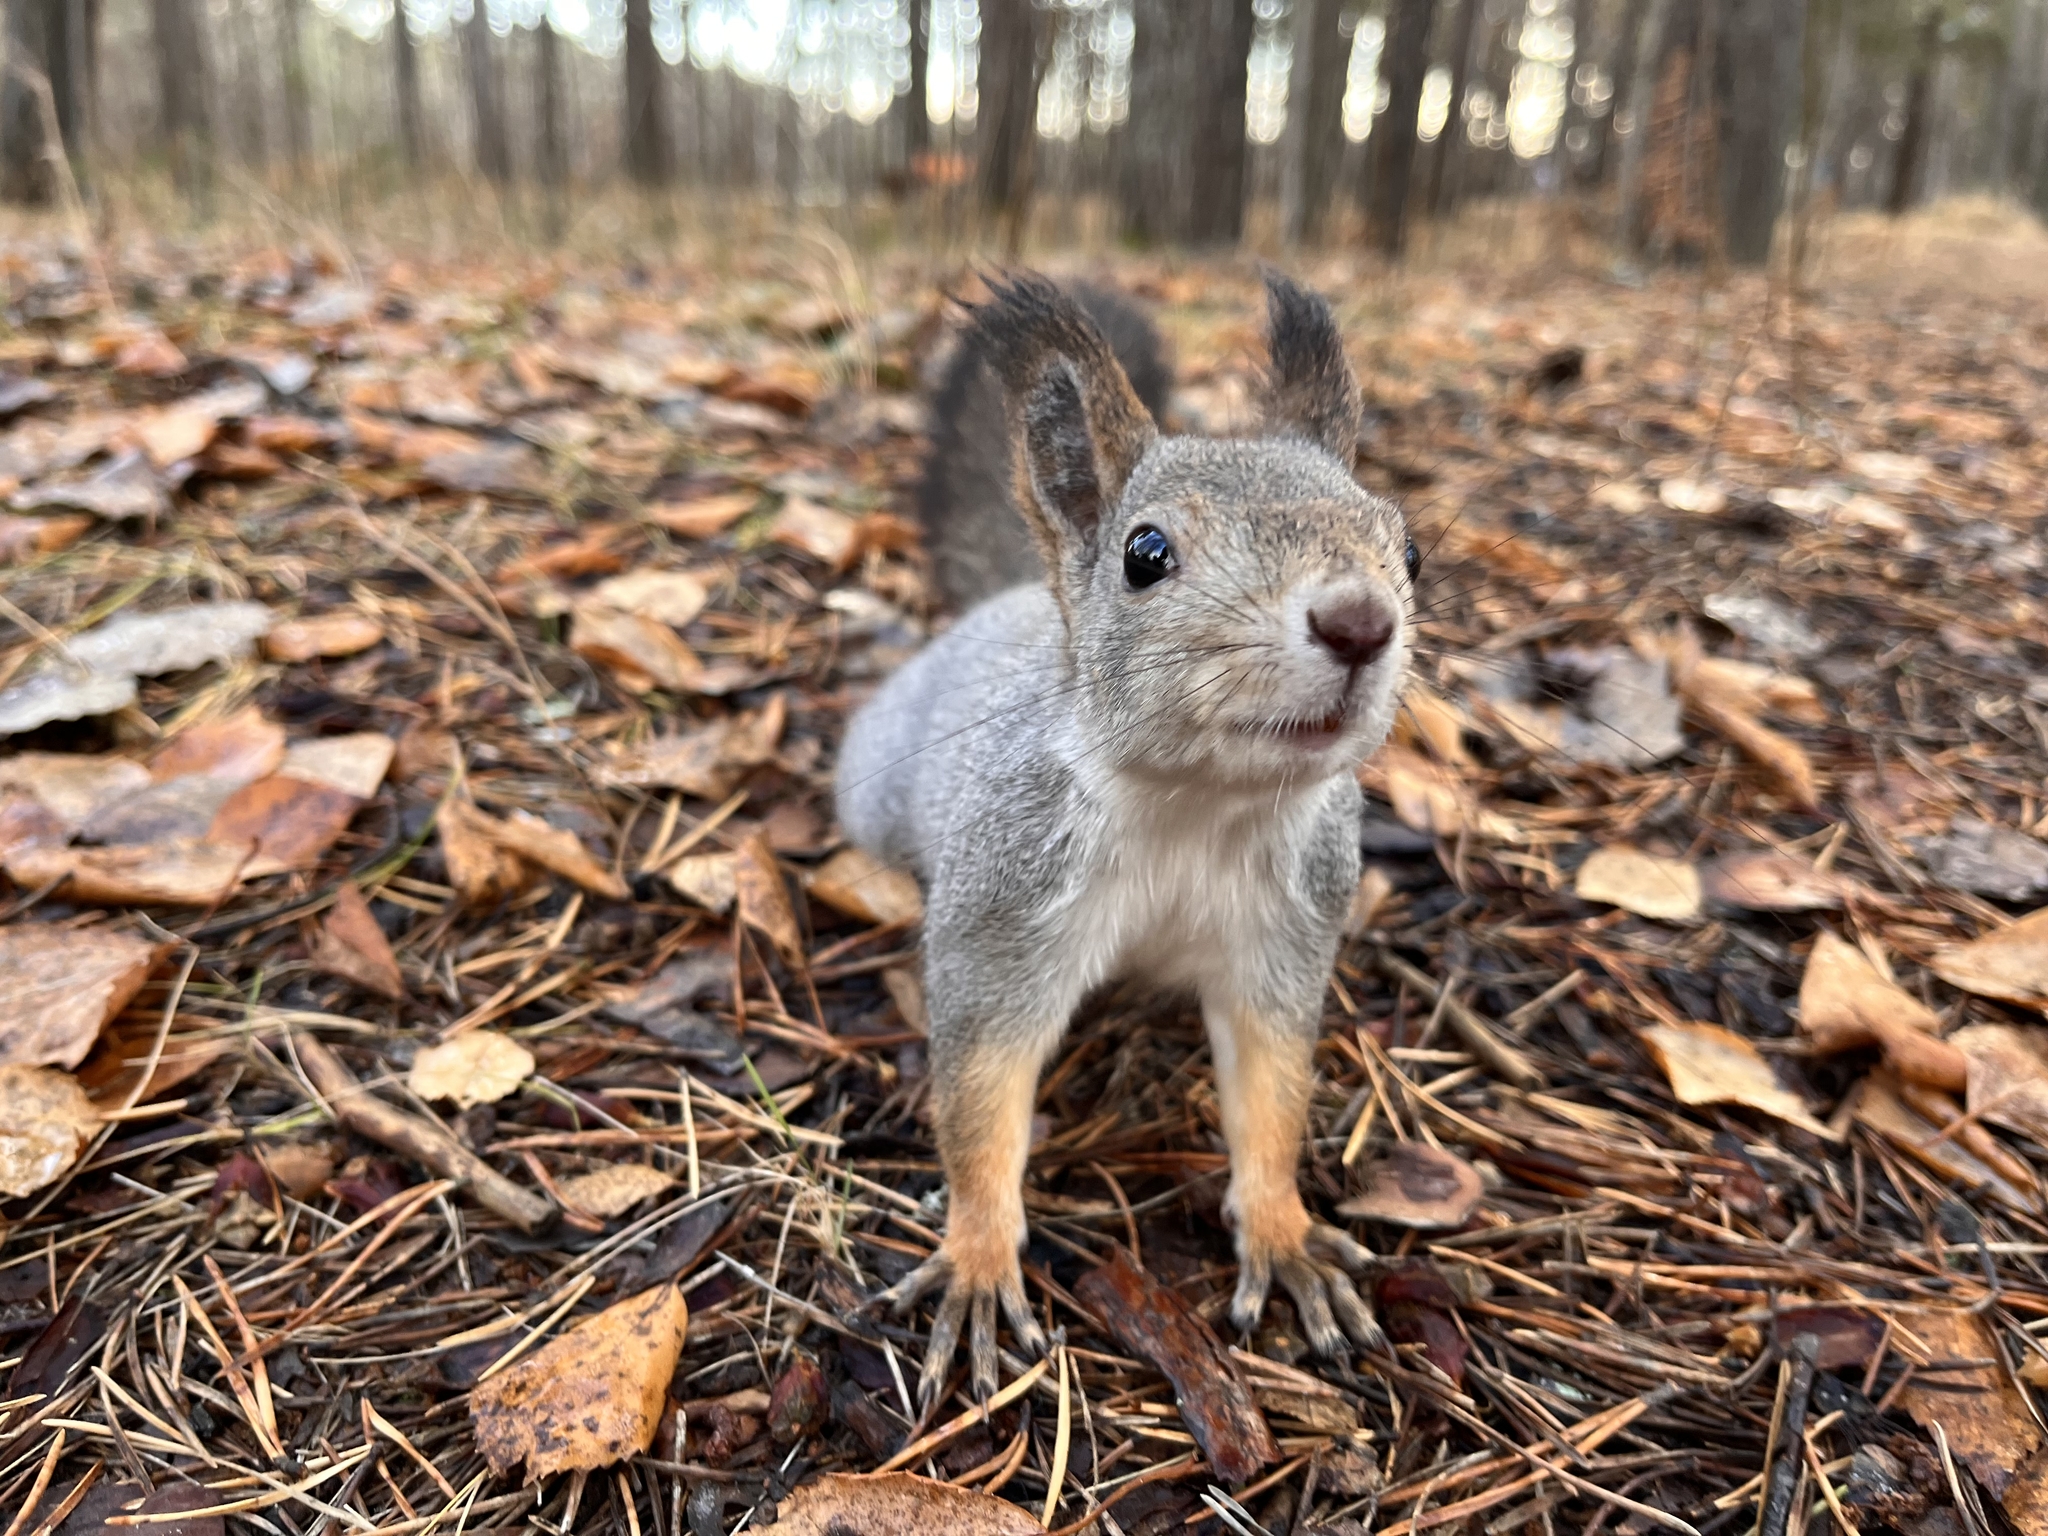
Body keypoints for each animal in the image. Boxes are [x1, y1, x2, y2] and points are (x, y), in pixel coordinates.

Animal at [831, 274, 1409, 1409]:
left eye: (1409, 549)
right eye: (1146, 555)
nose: (1361, 623)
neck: (1197, 804)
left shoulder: (1286, 930)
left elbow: (1271, 1089)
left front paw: (1283, 1233)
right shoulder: (1004, 905)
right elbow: (981, 1091)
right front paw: (977, 1255)